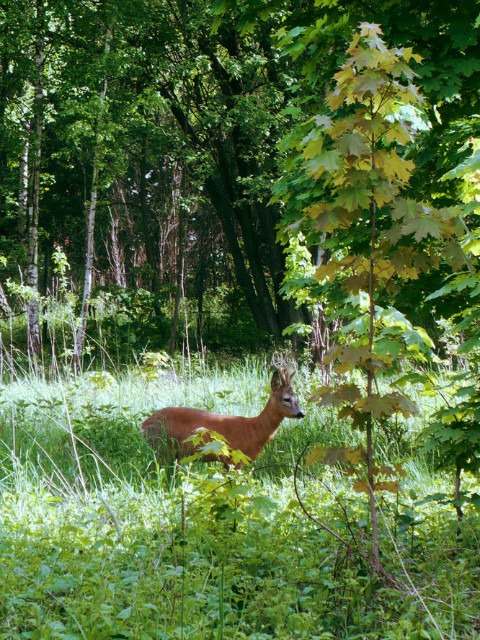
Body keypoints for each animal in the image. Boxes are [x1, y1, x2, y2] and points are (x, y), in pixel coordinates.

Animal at [141, 358, 306, 468]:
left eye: (296, 397)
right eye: (286, 399)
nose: (301, 413)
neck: (254, 431)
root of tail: (143, 425)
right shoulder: (234, 458)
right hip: (160, 447)